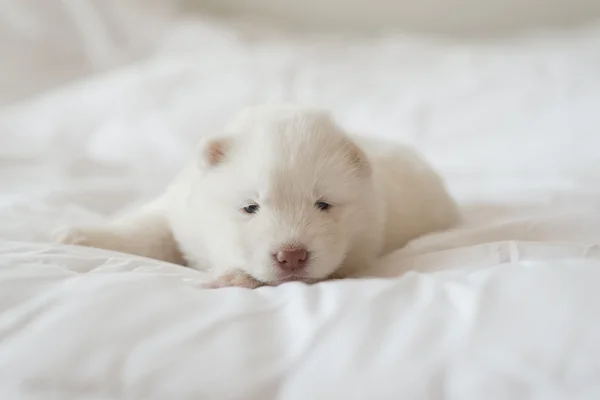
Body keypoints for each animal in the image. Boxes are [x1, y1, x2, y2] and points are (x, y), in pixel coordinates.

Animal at [56, 104, 460, 288]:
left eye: (323, 204)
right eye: (251, 207)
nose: (292, 256)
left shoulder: (360, 251)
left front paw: (231, 277)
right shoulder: (179, 212)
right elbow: (148, 229)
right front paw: (82, 235)